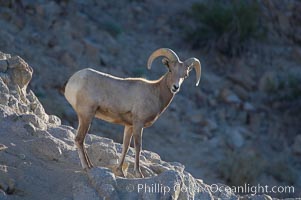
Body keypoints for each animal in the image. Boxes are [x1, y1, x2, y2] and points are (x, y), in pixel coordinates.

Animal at [64, 48, 200, 178]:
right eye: (170, 70)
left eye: (185, 75)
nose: (175, 87)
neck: (155, 93)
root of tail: (72, 82)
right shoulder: (138, 124)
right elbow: (138, 147)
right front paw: (139, 174)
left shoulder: (129, 126)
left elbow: (125, 146)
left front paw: (120, 172)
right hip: (86, 115)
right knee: (79, 139)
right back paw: (87, 167)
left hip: (84, 117)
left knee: (81, 140)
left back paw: (91, 165)